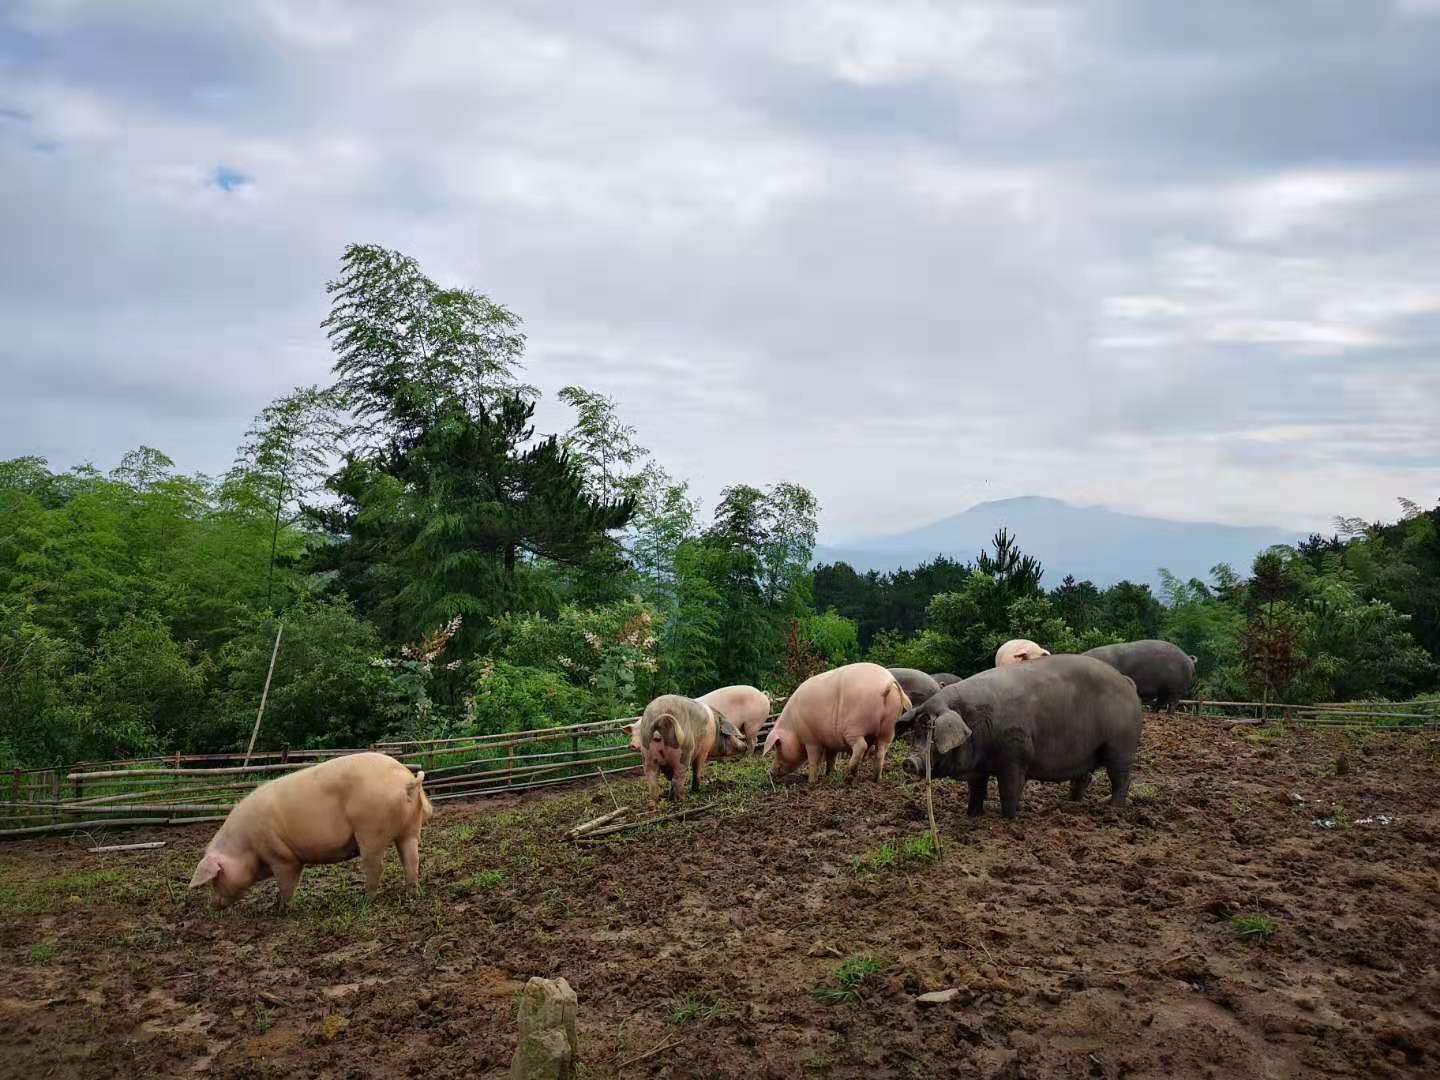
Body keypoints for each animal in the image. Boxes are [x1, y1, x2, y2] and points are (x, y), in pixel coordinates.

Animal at [188, 754, 429, 915]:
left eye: (215, 878)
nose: (211, 906)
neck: (245, 846)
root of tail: (406, 780)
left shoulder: (281, 856)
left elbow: (286, 883)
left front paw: (279, 910)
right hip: (410, 829)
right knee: (411, 859)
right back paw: (411, 894)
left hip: (370, 830)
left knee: (376, 867)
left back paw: (365, 900)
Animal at [766, 665, 910, 783]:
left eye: (778, 746)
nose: (770, 772)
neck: (793, 727)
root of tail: (886, 683)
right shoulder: (831, 741)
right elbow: (831, 757)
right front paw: (830, 773)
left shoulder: (811, 740)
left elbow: (814, 760)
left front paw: (811, 782)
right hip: (888, 729)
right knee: (881, 751)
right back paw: (876, 779)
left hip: (855, 727)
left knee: (861, 746)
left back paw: (848, 778)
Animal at [898, 650, 1134, 817]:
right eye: (915, 730)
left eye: (931, 730)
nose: (909, 761)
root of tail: (1125, 680)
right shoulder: (978, 769)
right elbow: (976, 791)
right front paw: (972, 816)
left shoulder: (1015, 758)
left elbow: (1009, 792)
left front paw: (1008, 819)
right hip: (1087, 754)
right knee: (1083, 778)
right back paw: (1071, 805)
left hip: (1120, 746)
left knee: (1121, 779)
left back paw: (1114, 809)